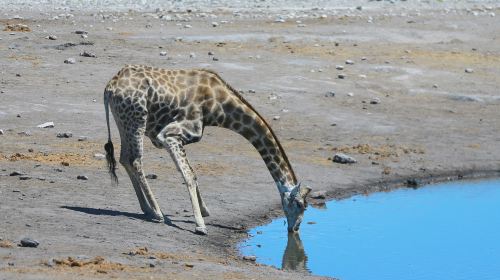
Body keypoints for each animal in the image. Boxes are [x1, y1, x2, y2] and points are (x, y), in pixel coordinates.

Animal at [103, 64, 310, 235]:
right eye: (300, 204)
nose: (295, 228)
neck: (218, 106)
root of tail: (109, 88)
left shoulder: (170, 137)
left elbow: (193, 173)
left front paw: (204, 211)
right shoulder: (171, 135)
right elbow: (189, 175)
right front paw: (200, 225)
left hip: (124, 122)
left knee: (124, 158)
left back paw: (147, 209)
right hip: (137, 120)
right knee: (136, 160)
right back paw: (157, 213)